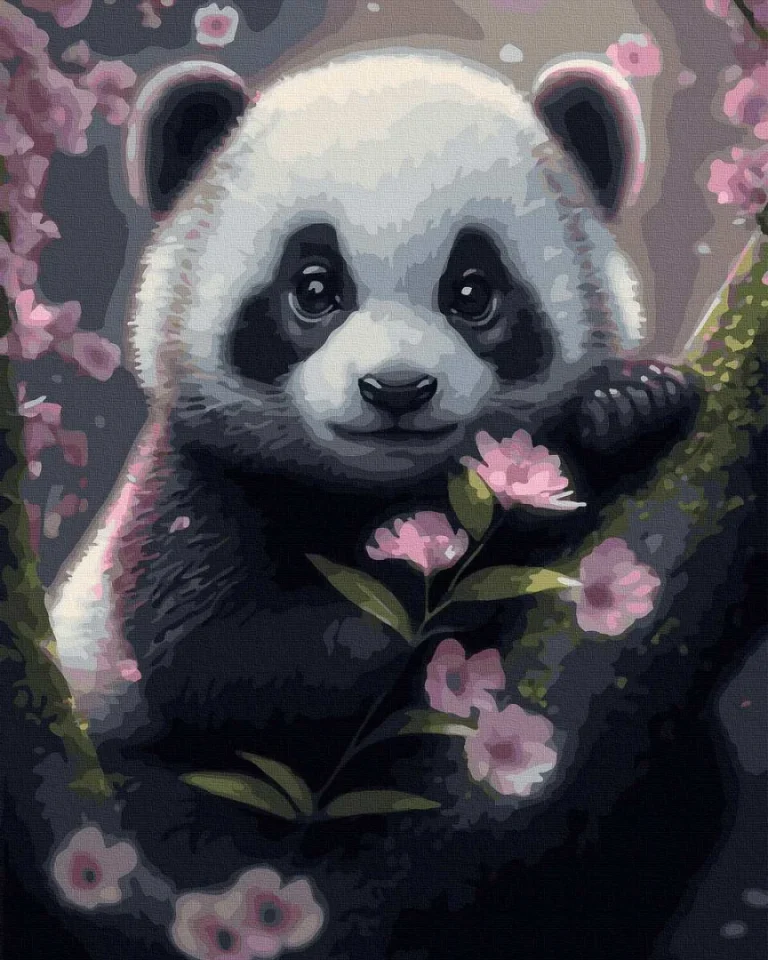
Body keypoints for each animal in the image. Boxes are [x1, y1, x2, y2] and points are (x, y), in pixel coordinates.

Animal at [5, 49, 709, 960]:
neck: (377, 488)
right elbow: (234, 658)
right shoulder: (193, 490)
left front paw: (630, 405)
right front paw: (491, 530)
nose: (397, 389)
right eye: (314, 287)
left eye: (473, 291)